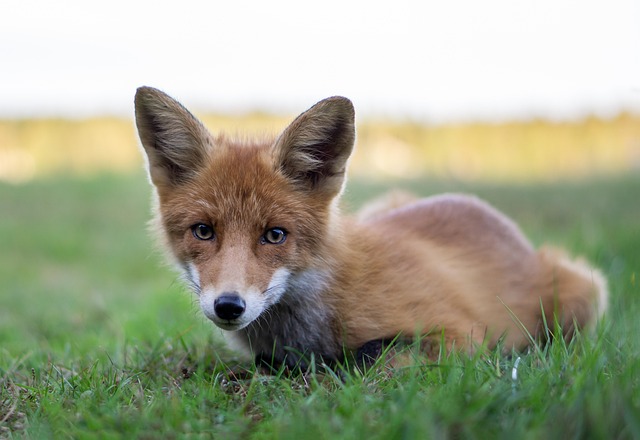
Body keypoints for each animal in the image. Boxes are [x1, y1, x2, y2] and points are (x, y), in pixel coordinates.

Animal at [134, 86, 608, 369]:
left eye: (275, 235)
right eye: (203, 231)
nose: (228, 306)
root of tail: (488, 211)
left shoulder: (463, 335)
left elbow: (375, 358)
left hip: (581, 294)